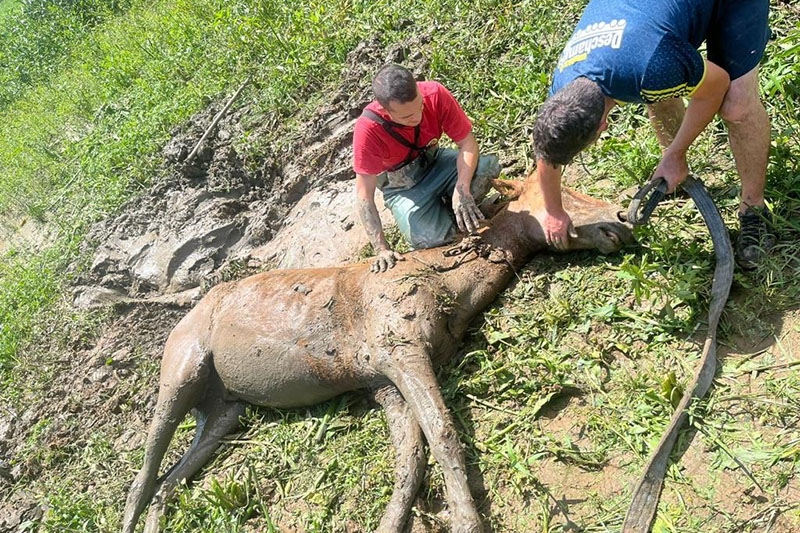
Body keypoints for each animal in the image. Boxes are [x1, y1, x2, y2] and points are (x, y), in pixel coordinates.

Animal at [120, 172, 632, 528]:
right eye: (559, 191)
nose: (623, 218)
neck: (451, 286)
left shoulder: (383, 383)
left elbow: (411, 462)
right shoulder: (398, 351)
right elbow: (443, 435)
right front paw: (469, 522)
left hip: (225, 411)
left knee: (169, 480)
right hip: (182, 371)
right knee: (143, 475)